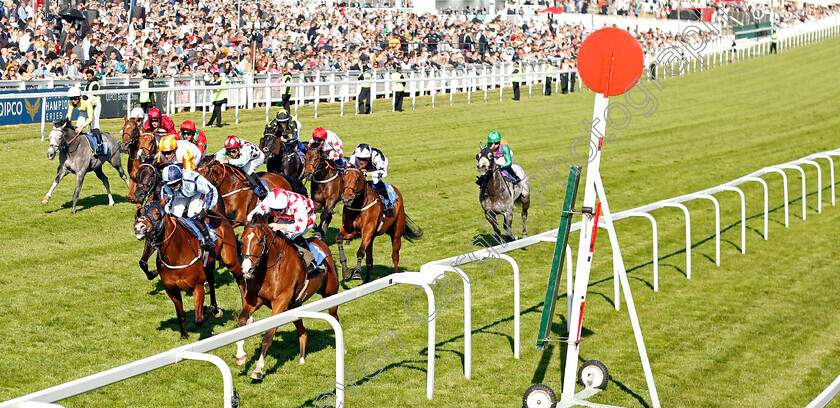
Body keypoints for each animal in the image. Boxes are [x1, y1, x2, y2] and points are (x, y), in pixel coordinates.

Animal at [131, 199, 243, 340]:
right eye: (140, 212)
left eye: (156, 213)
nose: (139, 227)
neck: (177, 254)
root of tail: (220, 216)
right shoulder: (171, 290)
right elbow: (181, 315)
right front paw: (184, 336)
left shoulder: (197, 287)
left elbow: (198, 319)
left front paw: (208, 310)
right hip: (209, 263)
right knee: (211, 281)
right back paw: (216, 308)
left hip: (230, 260)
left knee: (240, 279)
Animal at [235, 215, 340, 380]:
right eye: (243, 239)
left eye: (260, 241)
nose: (246, 269)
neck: (269, 269)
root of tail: (321, 242)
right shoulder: (253, 299)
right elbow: (242, 320)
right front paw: (241, 356)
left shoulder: (280, 303)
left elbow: (268, 337)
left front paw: (258, 369)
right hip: (295, 306)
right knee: (302, 332)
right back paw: (302, 358)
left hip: (331, 293)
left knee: (335, 317)